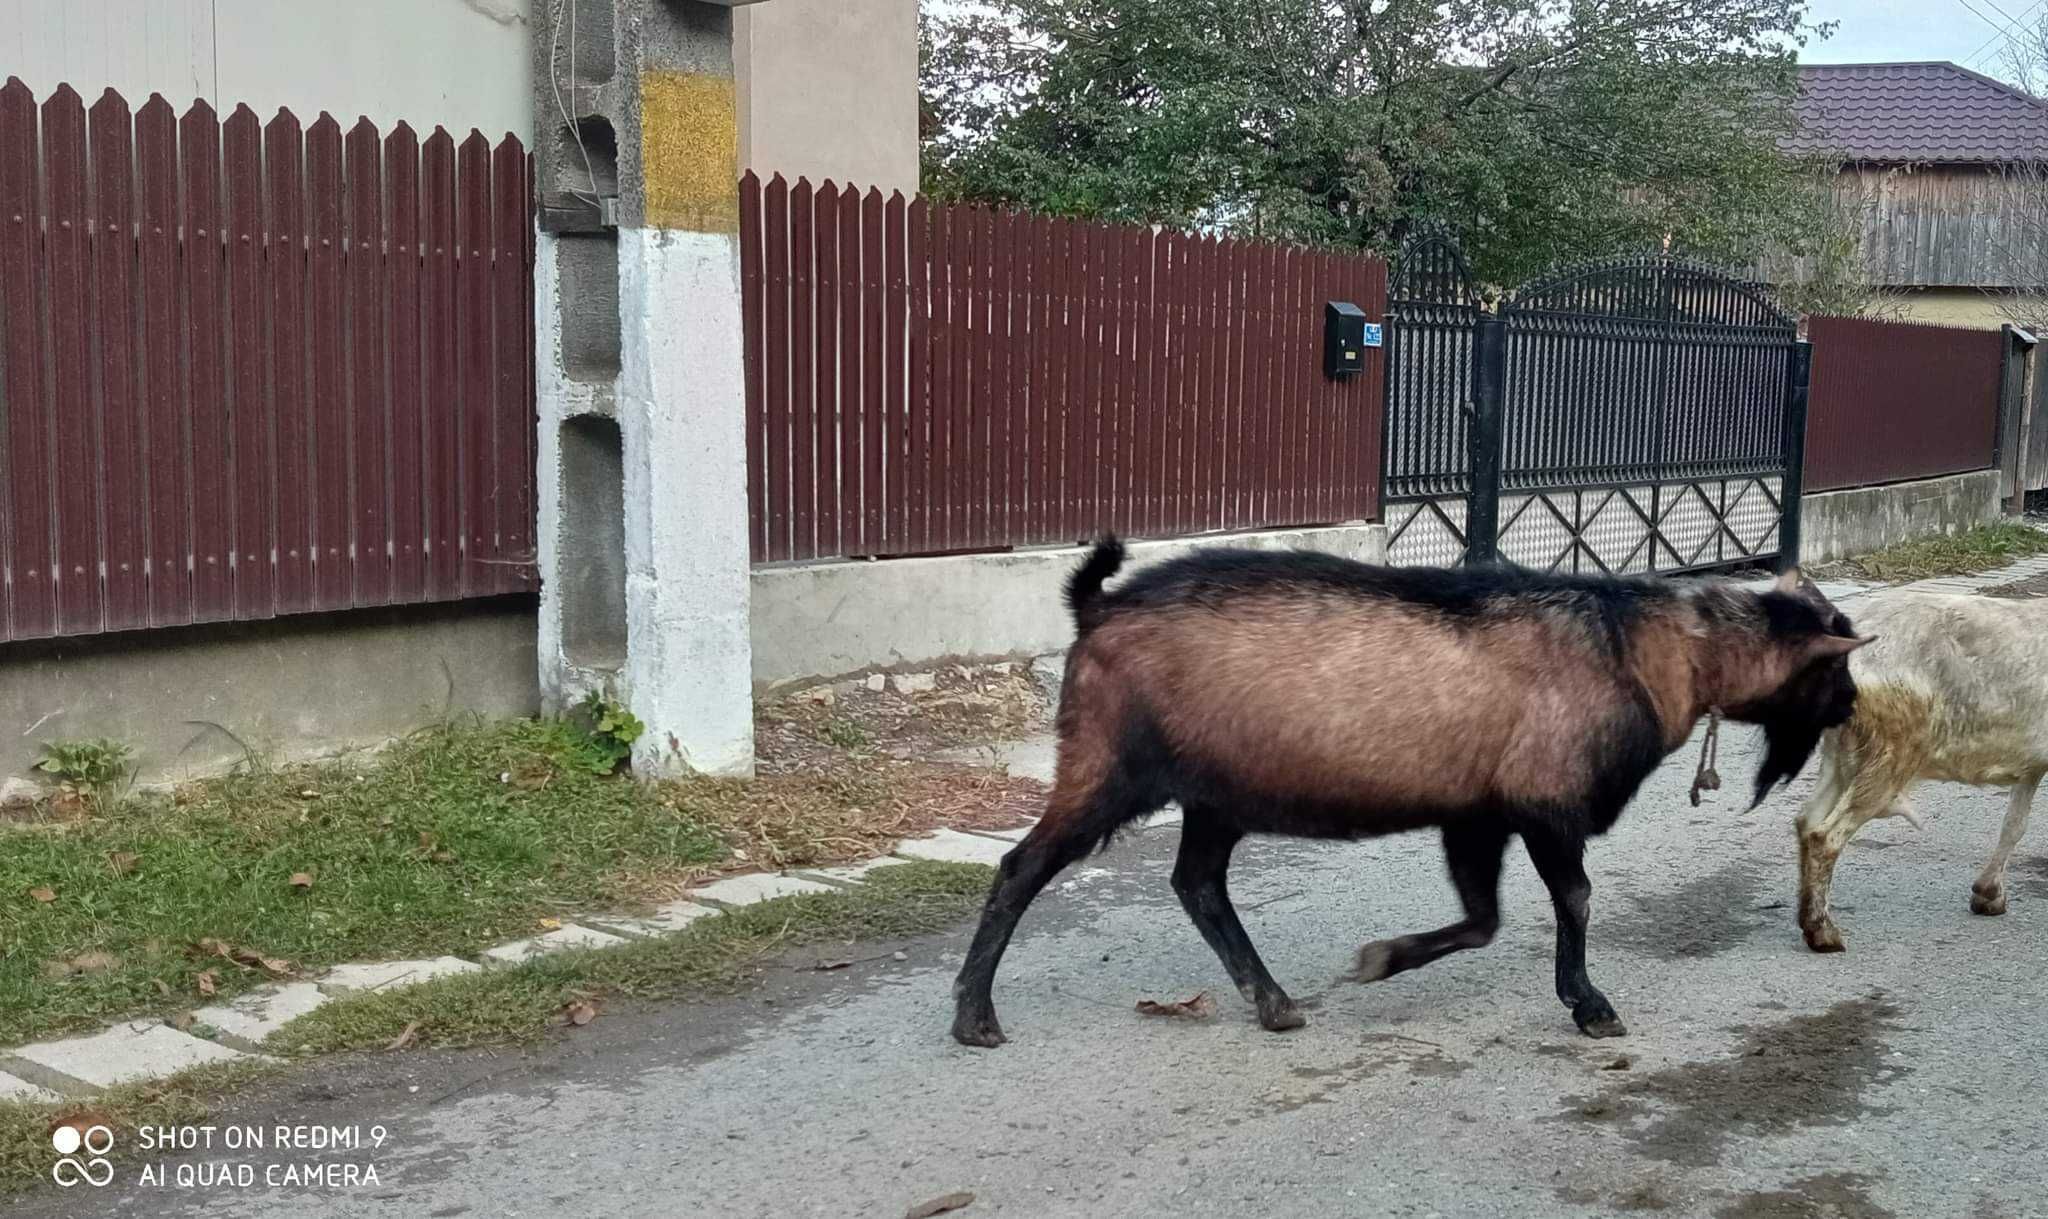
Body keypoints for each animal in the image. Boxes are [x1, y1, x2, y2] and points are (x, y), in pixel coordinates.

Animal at [954, 544, 1875, 1048]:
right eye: (1835, 664)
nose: (1854, 706)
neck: (1648, 649)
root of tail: (1095, 608)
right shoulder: (1544, 799)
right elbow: (1574, 897)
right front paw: (1591, 1005)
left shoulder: (1479, 810)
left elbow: (1484, 916)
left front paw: (1384, 957)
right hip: (1110, 764)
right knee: (1022, 867)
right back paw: (974, 1017)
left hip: (1216, 790)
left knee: (1198, 882)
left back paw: (1275, 1002)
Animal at [1794, 590, 2048, 954]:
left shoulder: (2030, 764)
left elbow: (2014, 825)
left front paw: (1988, 896)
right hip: (1890, 753)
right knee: (1826, 835)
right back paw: (1822, 933)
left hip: (1841, 754)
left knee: (1807, 820)